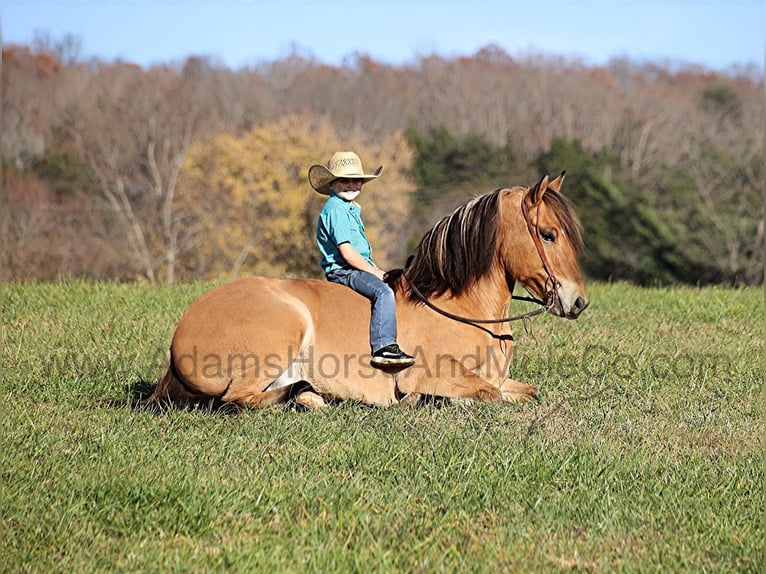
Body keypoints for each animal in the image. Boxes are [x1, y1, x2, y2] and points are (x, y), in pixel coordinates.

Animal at [146, 172, 588, 410]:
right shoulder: (430, 373)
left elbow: (525, 391)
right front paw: (423, 401)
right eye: (548, 234)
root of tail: (180, 335)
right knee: (240, 398)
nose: (578, 302)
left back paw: (308, 395)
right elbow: (485, 394)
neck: (464, 310)